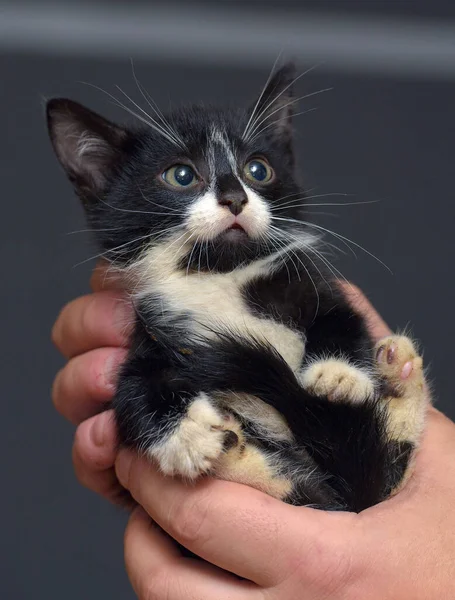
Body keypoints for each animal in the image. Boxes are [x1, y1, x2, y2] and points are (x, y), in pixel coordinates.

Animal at [46, 62, 428, 510]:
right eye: (181, 175)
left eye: (258, 169)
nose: (234, 197)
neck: (219, 277)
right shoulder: (155, 329)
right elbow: (131, 385)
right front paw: (186, 436)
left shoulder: (309, 284)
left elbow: (341, 315)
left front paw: (338, 374)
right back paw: (235, 452)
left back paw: (399, 376)